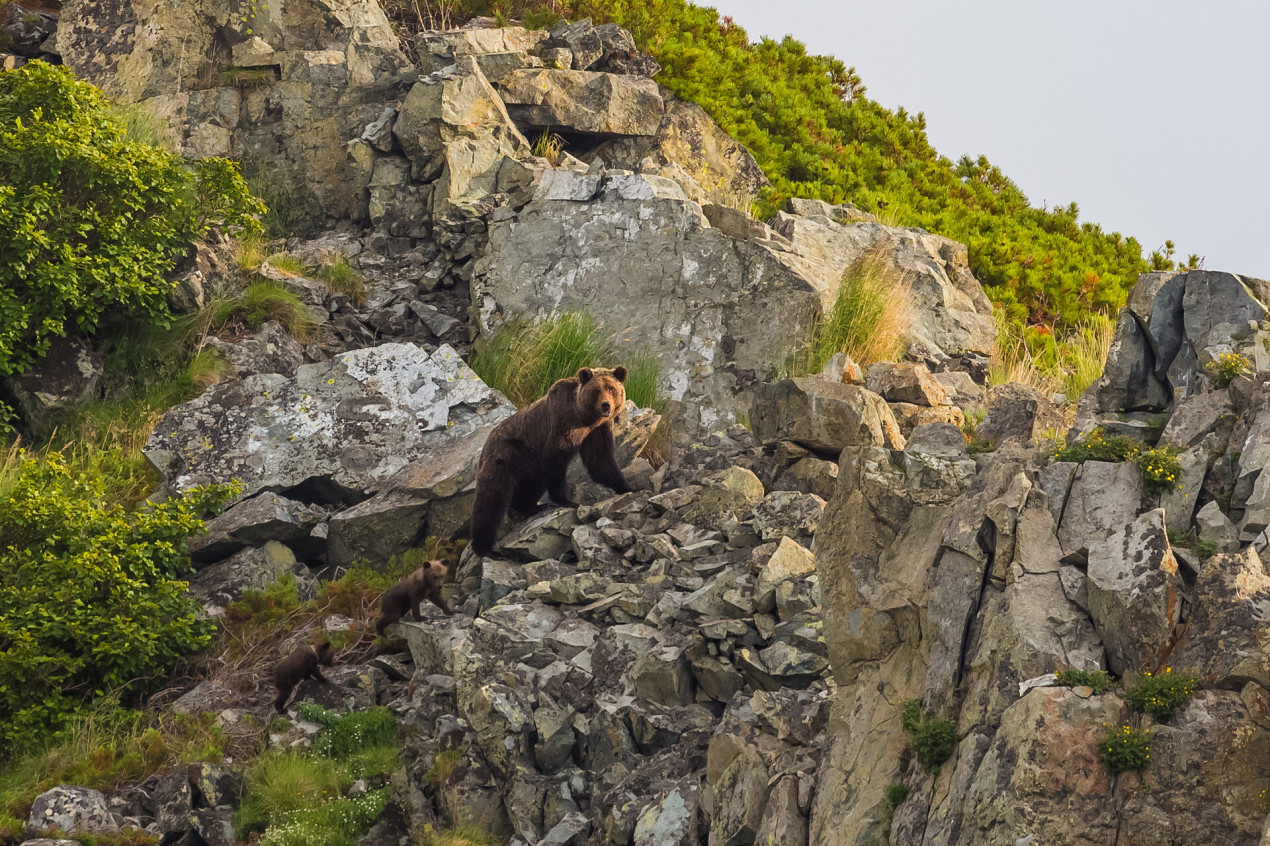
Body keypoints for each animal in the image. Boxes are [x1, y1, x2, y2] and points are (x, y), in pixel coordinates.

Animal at [469, 363, 632, 553]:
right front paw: (567, 501)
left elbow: (601, 460)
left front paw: (628, 487)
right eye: (596, 390)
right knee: (492, 498)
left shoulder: (597, 430)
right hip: (508, 454)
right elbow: (556, 461)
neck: (585, 418)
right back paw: (485, 548)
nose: (606, 406)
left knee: (530, 485)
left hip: (529, 463)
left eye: (612, 389)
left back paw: (533, 507)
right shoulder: (562, 426)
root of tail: (484, 447)